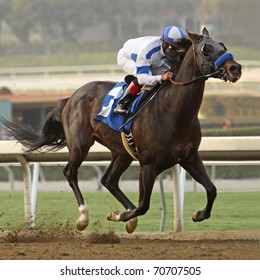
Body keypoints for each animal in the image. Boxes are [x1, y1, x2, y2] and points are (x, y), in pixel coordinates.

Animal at [2, 28, 242, 233]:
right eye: (206, 49)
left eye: (222, 45)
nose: (235, 68)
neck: (173, 112)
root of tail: (71, 97)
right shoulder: (148, 164)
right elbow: (143, 205)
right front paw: (118, 216)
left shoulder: (189, 157)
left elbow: (212, 189)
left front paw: (198, 214)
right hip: (80, 145)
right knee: (71, 173)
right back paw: (83, 217)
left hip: (121, 152)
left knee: (109, 180)